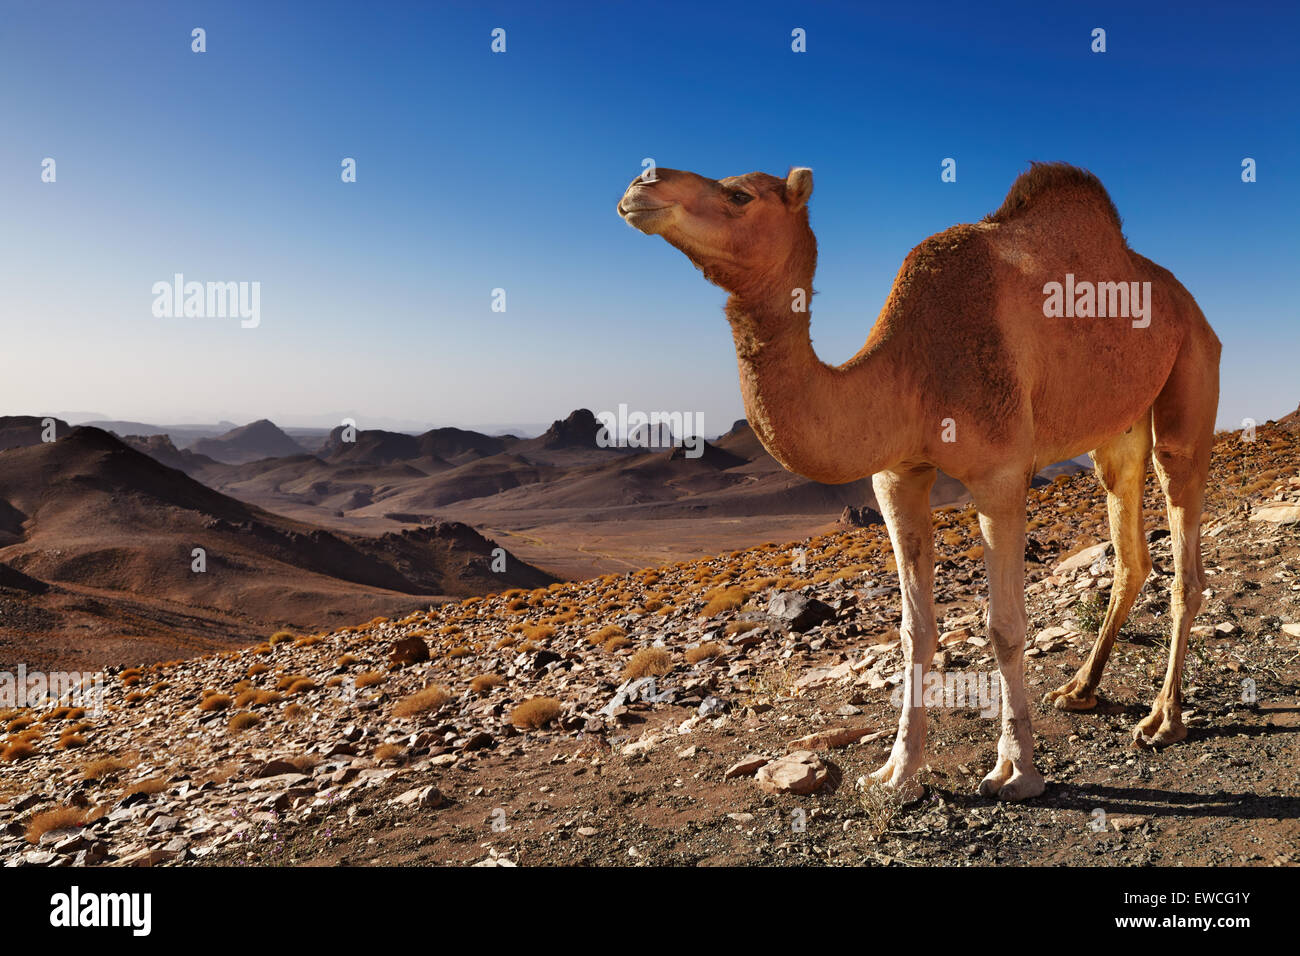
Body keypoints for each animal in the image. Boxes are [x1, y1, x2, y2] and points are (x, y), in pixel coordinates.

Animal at [618, 162, 1216, 801]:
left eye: (738, 194)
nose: (641, 183)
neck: (914, 364)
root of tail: (1187, 301)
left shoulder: (1001, 474)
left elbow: (1004, 627)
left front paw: (1017, 770)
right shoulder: (896, 476)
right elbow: (914, 629)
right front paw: (897, 770)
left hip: (1191, 371)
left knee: (1183, 546)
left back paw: (1163, 719)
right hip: (1119, 426)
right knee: (1130, 547)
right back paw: (1079, 689)